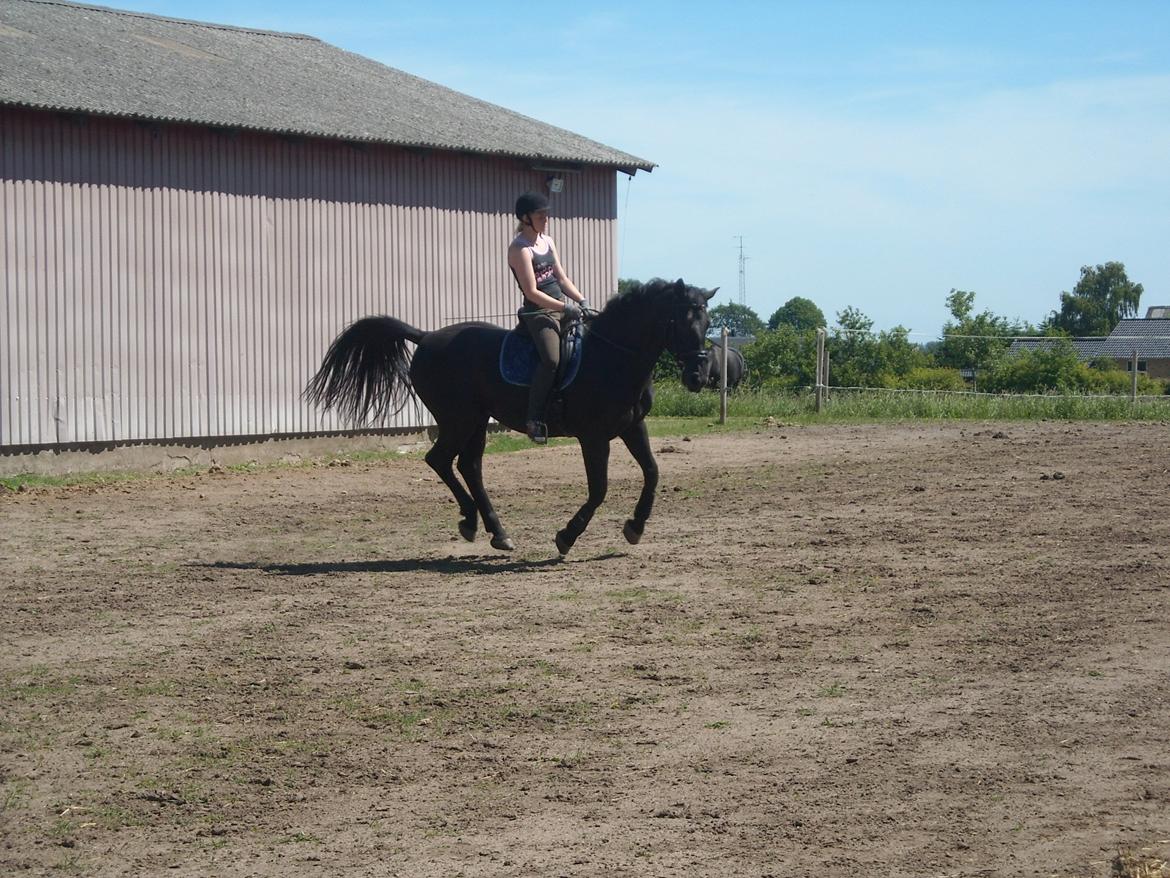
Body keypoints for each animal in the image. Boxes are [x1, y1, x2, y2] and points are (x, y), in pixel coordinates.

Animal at [304, 278, 711, 557]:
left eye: (706, 324)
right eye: (679, 321)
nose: (698, 376)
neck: (612, 356)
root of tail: (428, 337)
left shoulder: (632, 426)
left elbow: (653, 472)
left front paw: (635, 526)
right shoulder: (593, 437)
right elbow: (599, 489)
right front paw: (566, 537)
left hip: (477, 421)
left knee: (467, 466)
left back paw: (493, 530)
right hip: (459, 419)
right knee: (440, 460)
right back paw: (475, 521)